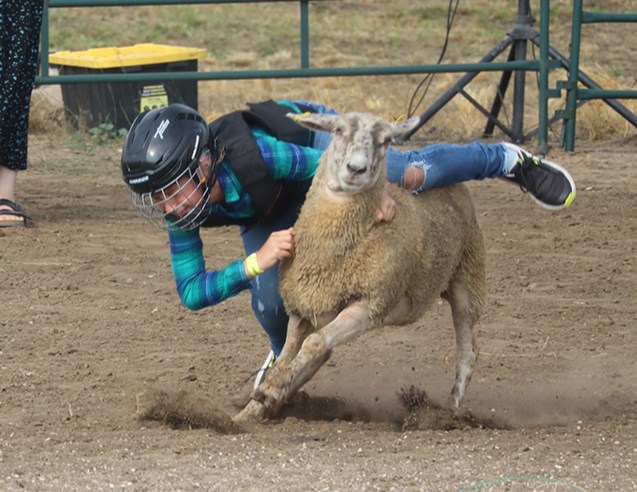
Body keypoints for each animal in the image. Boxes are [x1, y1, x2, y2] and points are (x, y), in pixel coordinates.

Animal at [236, 111, 484, 422]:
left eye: (387, 140)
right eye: (338, 131)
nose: (356, 169)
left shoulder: (371, 304)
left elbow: (315, 343)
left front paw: (269, 393)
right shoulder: (304, 306)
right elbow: (287, 356)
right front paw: (253, 408)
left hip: (468, 276)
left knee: (467, 351)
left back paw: (451, 410)